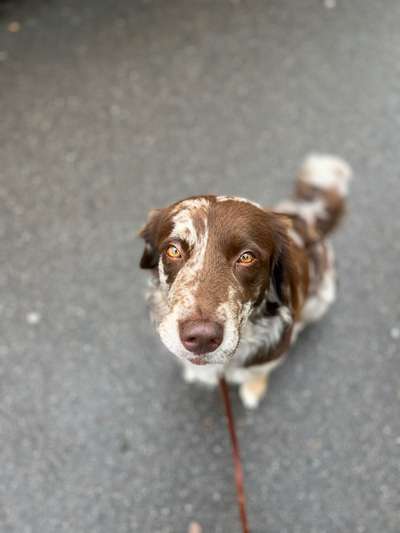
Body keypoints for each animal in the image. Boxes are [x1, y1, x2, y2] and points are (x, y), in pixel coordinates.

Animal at [139, 154, 352, 408]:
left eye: (247, 257)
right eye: (173, 250)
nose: (201, 337)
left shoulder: (271, 354)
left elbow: (258, 373)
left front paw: (253, 389)